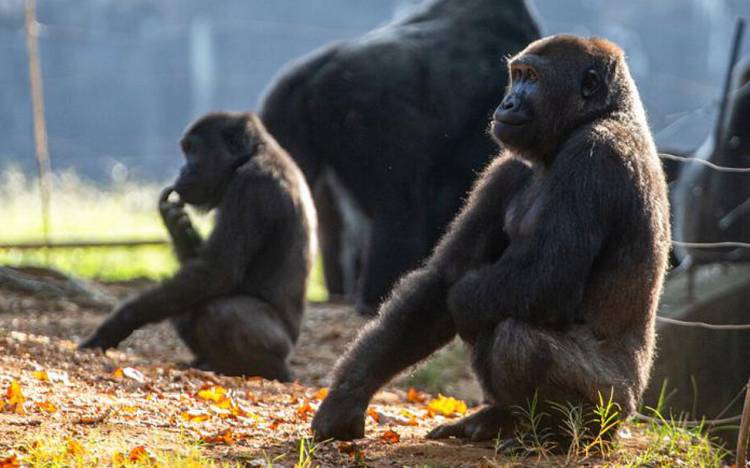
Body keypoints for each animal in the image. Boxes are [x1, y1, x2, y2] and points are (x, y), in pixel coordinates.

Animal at [80, 111, 318, 382]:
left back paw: (260, 368)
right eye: (187, 151)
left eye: (194, 150)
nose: (183, 170)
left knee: (222, 310)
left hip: (283, 349)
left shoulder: (252, 185)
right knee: (187, 306)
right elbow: (199, 273)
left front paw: (117, 324)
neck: (254, 153)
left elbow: (216, 272)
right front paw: (177, 226)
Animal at [308, 35, 672, 442]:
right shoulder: (505, 168)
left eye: (532, 78)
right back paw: (500, 419)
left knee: (516, 341)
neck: (604, 113)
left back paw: (559, 433)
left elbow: (543, 281)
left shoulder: (594, 156)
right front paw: (347, 396)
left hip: (615, 406)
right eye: (517, 75)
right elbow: (441, 280)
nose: (507, 102)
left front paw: (464, 300)